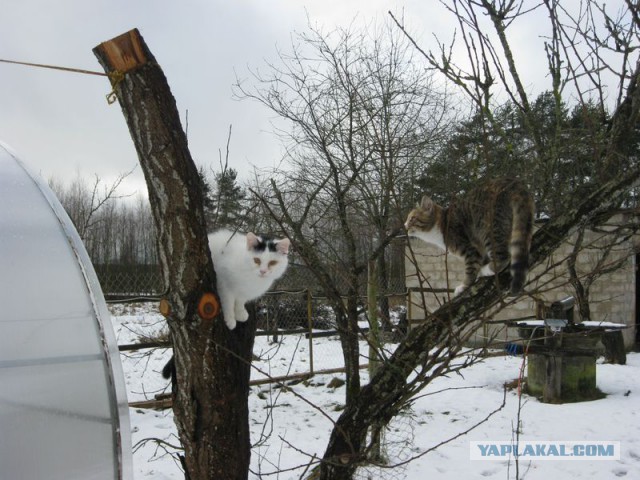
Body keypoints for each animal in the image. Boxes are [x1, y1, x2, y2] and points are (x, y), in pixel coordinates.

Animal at [404, 177, 536, 296]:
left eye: (412, 218)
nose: (405, 225)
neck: (442, 224)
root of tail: (514, 184)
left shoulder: (469, 249)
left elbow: (470, 269)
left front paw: (464, 286)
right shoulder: (480, 252)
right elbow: (479, 263)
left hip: (488, 228)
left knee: (503, 257)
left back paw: (487, 270)